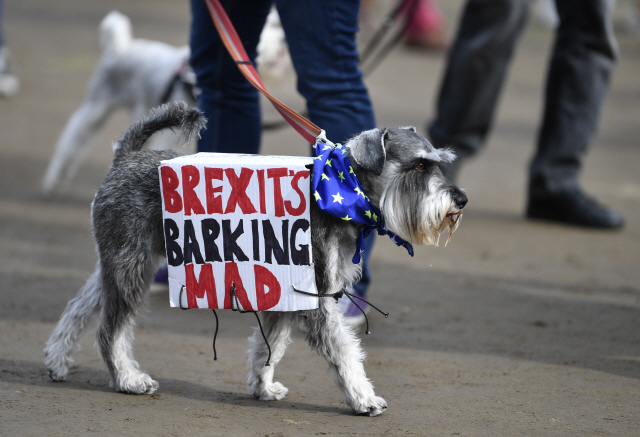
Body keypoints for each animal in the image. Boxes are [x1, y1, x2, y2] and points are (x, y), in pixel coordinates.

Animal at [41, 8, 288, 194]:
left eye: (277, 24)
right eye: (265, 29)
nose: (283, 39)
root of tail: (119, 47)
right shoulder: (170, 136)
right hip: (97, 107)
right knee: (74, 139)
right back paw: (54, 179)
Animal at [43, 100, 464, 414]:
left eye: (439, 162)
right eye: (420, 164)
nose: (461, 199)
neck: (344, 191)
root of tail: (125, 157)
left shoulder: (288, 289)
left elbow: (270, 346)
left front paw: (263, 387)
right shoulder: (318, 298)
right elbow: (344, 353)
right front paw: (364, 398)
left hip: (119, 262)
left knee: (82, 304)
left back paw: (57, 358)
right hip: (132, 265)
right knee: (110, 330)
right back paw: (128, 379)